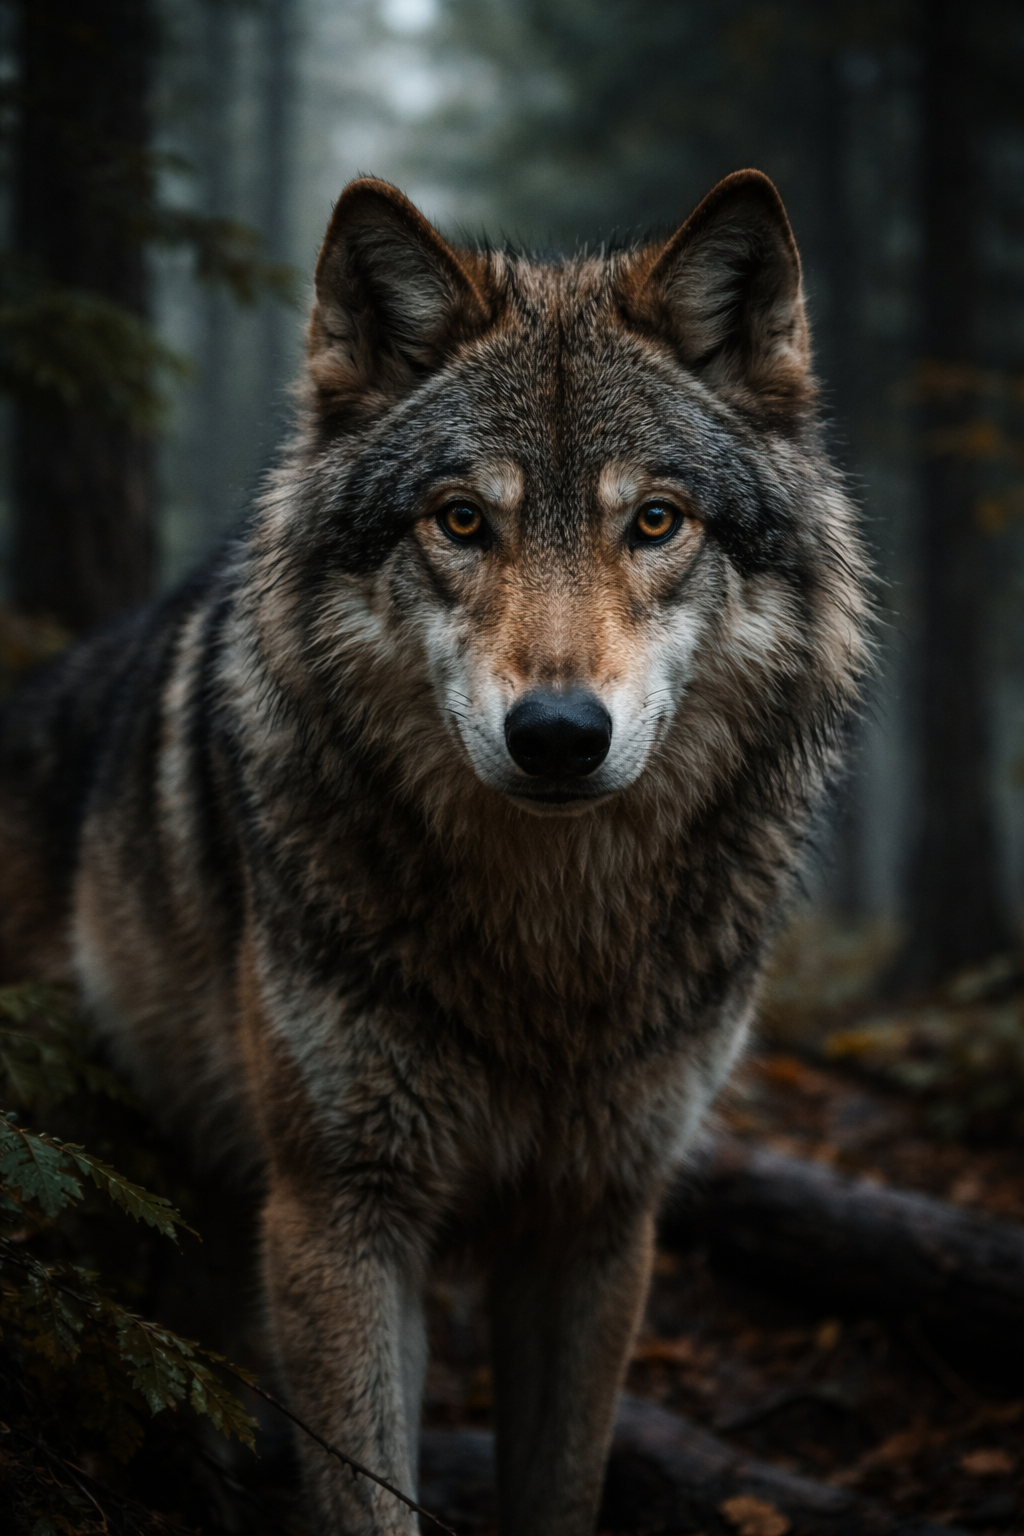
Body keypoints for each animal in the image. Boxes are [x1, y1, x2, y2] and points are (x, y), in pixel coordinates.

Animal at [0, 169, 867, 1535]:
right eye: (461, 520)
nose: (558, 734)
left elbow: (561, 1486)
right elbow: (368, 1491)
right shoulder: (340, 1215)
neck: (545, 953)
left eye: (654, 521)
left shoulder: (597, 1227)